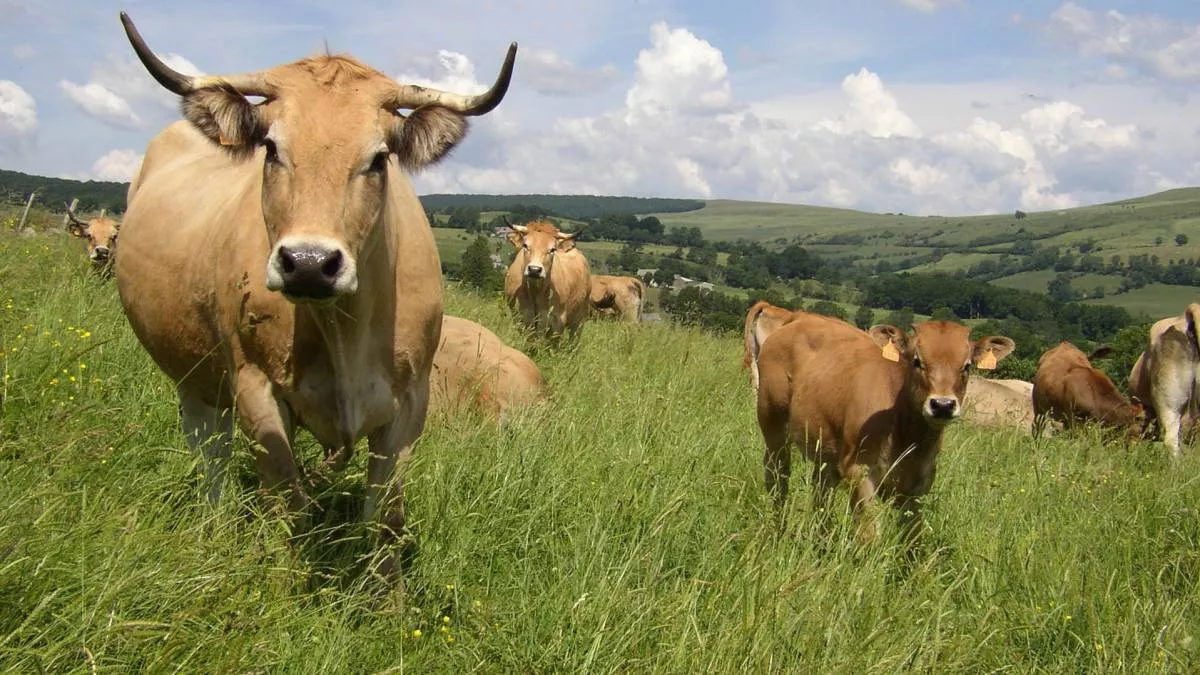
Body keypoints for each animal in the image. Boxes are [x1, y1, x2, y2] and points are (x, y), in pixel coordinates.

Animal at [114, 11, 518, 578]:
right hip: (194, 375)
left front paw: (387, 596)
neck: (344, 331)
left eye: (378, 158)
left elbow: (385, 517)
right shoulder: (255, 388)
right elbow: (290, 503)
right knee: (210, 452)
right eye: (271, 148)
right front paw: (283, 585)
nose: (308, 263)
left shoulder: (411, 405)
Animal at [758, 314, 1012, 540]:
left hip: (826, 449)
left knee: (821, 490)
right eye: (917, 361)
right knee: (777, 476)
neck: (908, 436)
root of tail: (800, 317)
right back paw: (777, 529)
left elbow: (912, 540)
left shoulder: (919, 485)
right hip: (773, 424)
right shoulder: (859, 472)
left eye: (966, 366)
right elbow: (869, 535)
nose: (942, 405)